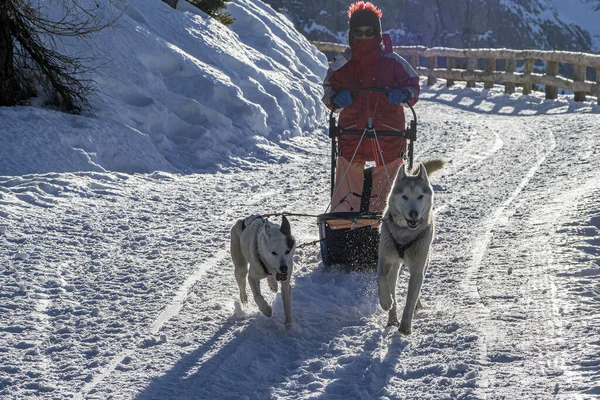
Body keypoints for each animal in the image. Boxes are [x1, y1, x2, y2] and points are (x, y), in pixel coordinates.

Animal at [380, 159, 446, 334]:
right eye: (404, 196)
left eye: (420, 196)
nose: (414, 214)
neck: (404, 235)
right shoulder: (385, 258)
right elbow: (380, 278)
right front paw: (385, 301)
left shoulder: (417, 269)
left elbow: (410, 299)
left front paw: (405, 325)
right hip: (395, 266)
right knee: (392, 286)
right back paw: (392, 317)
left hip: (424, 261)